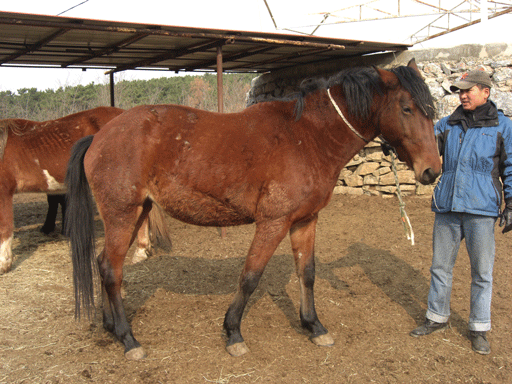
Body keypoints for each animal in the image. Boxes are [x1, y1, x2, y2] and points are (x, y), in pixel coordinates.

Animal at [64, 59, 440, 360]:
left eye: (430, 109)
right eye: (407, 108)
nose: (432, 171)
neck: (307, 136)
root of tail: (99, 137)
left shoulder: (305, 221)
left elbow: (307, 273)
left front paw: (314, 326)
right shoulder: (273, 222)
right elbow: (250, 277)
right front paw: (233, 333)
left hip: (136, 212)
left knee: (105, 265)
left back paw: (111, 327)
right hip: (122, 214)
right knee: (112, 271)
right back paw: (129, 339)